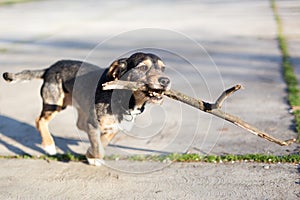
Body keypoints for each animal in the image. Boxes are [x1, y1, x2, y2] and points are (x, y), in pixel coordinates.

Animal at [1, 52, 171, 166]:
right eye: (142, 67)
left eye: (163, 69)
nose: (166, 81)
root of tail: (50, 68)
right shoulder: (94, 124)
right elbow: (99, 146)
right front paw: (93, 155)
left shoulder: (113, 128)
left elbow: (102, 142)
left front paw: (90, 155)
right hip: (55, 102)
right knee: (39, 120)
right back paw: (49, 145)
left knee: (79, 124)